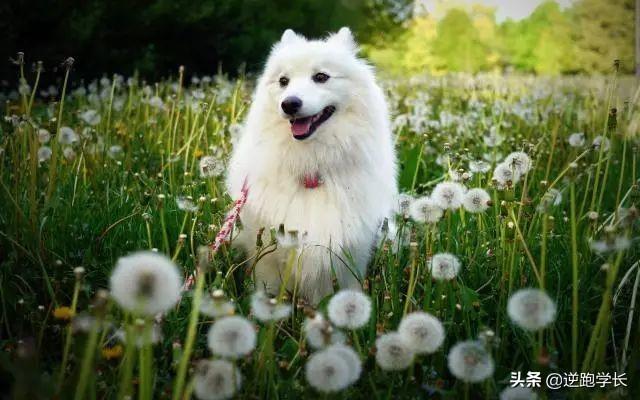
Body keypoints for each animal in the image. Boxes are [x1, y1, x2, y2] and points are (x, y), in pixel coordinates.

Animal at [225, 27, 396, 304]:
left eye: (321, 77)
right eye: (283, 81)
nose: (289, 103)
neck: (312, 166)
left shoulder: (348, 257)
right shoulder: (267, 257)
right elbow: (267, 291)